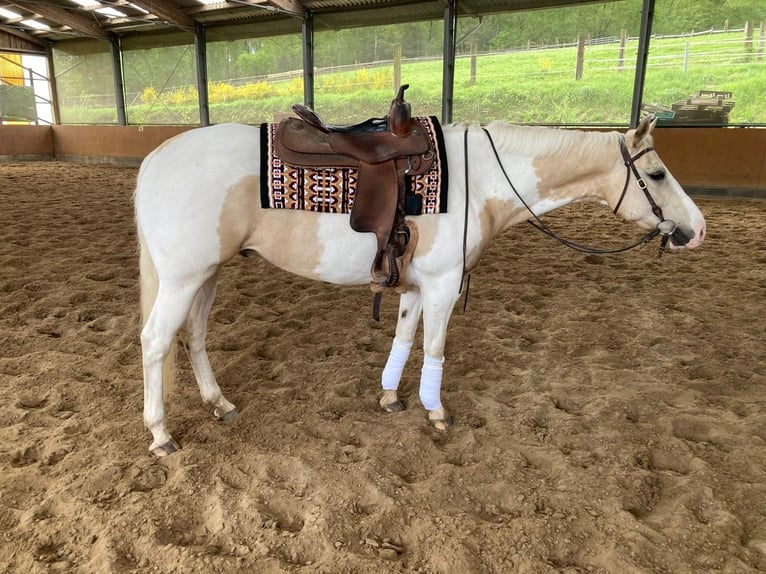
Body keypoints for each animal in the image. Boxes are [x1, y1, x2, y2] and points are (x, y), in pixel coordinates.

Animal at [135, 114, 706, 457]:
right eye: (657, 174)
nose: (696, 230)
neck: (481, 180)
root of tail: (154, 159)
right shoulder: (443, 284)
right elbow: (433, 347)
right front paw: (436, 412)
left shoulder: (412, 286)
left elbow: (405, 339)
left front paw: (390, 398)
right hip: (183, 278)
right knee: (156, 341)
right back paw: (160, 434)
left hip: (207, 275)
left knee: (194, 337)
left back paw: (219, 403)